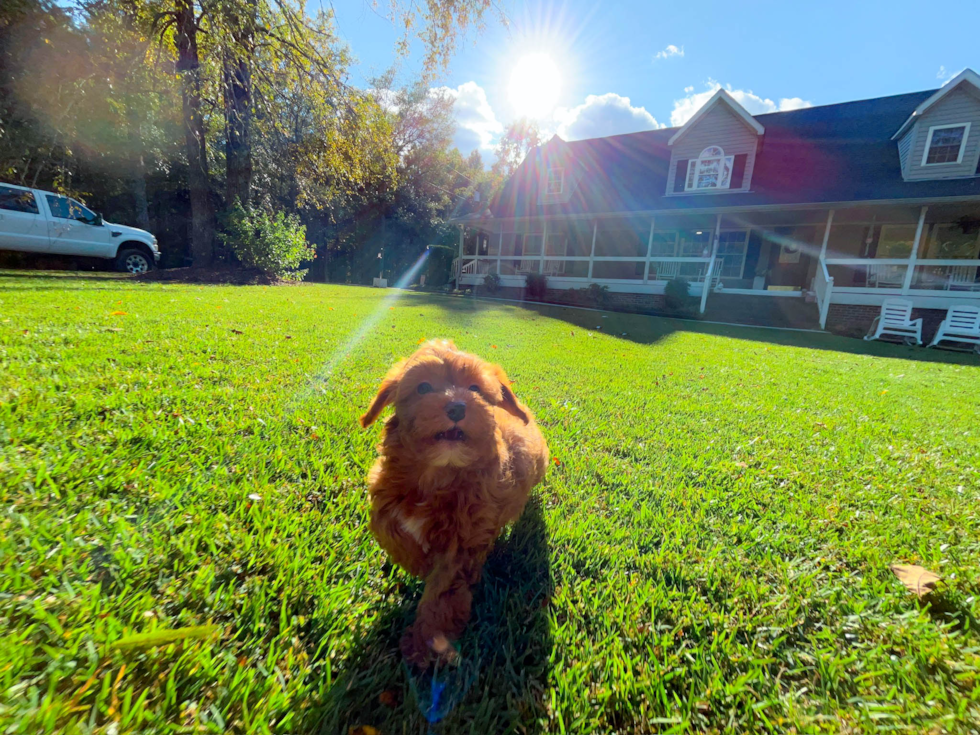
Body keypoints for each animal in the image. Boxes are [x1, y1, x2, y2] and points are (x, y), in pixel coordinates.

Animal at [360, 340, 548, 668]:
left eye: (475, 388)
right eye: (423, 387)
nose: (457, 407)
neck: (438, 473)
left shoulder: (464, 543)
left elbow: (443, 591)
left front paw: (425, 644)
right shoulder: (384, 496)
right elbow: (391, 531)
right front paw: (418, 562)